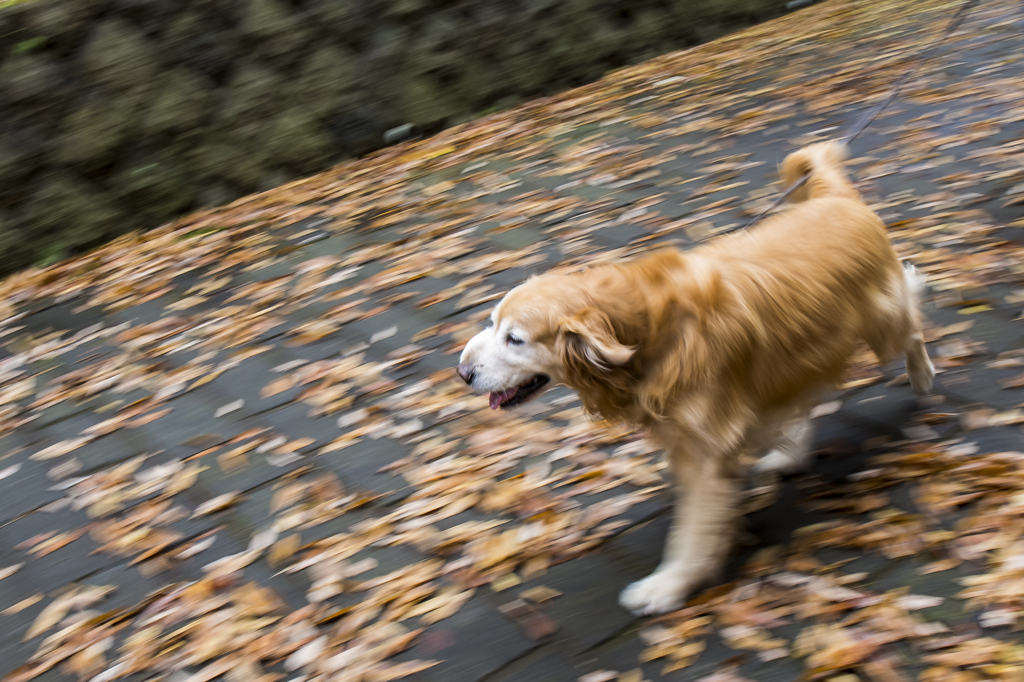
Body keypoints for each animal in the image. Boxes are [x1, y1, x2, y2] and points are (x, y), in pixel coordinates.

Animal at [456, 140, 937, 614]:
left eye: (514, 339)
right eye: (492, 323)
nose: (462, 372)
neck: (645, 328)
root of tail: (833, 197)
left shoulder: (706, 447)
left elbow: (692, 526)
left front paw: (669, 584)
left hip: (882, 324)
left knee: (912, 313)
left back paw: (922, 375)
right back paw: (791, 454)